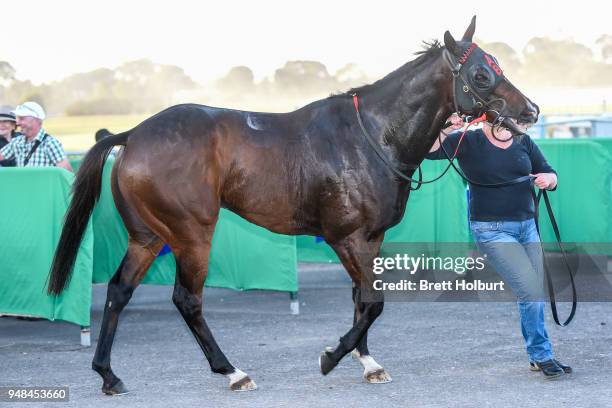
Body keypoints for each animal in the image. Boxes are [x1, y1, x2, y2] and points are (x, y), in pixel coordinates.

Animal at [47, 16, 536, 396]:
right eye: (480, 74)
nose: (529, 110)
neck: (371, 136)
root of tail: (132, 135)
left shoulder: (371, 238)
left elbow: (362, 298)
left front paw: (367, 362)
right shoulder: (345, 237)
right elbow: (373, 302)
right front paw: (331, 355)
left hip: (147, 236)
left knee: (119, 291)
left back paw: (108, 374)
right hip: (191, 234)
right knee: (187, 299)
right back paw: (232, 372)